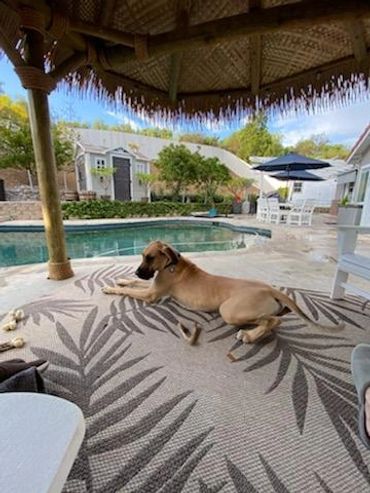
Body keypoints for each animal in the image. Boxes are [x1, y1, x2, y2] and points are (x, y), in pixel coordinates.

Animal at [102, 239, 344, 342]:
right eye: (143, 256)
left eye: (149, 257)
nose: (137, 271)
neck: (170, 264)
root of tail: (268, 288)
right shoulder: (153, 287)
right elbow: (133, 285)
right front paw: (122, 280)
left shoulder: (152, 294)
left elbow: (131, 292)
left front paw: (110, 288)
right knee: (274, 319)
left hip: (230, 311)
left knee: (272, 320)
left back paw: (249, 336)